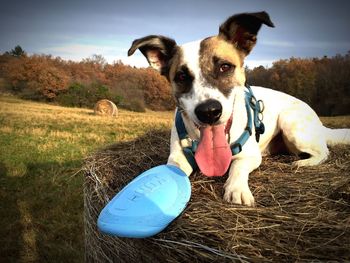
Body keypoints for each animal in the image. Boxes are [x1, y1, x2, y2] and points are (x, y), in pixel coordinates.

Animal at [128, 11, 350, 207]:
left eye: (225, 67)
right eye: (181, 76)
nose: (209, 112)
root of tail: (320, 126)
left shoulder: (249, 155)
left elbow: (237, 166)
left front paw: (237, 189)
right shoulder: (177, 156)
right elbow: (174, 169)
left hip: (291, 125)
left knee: (324, 151)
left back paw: (303, 163)